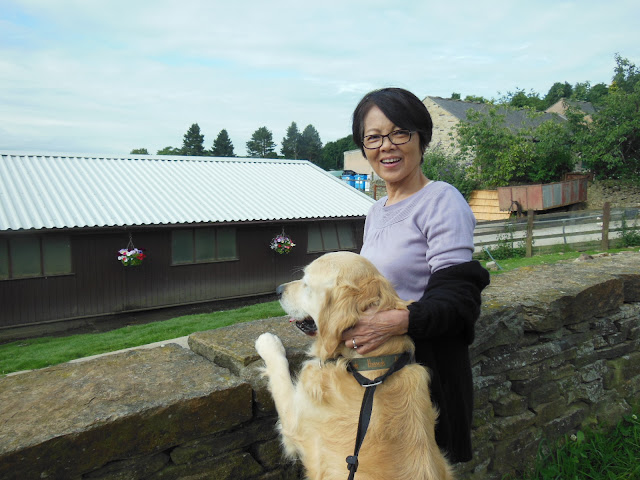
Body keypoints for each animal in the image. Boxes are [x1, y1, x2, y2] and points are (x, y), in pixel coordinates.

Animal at [255, 251, 453, 480]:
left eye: (306, 283)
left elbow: (280, 377)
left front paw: (268, 342)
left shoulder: (295, 422)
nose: (278, 290)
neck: (368, 368)